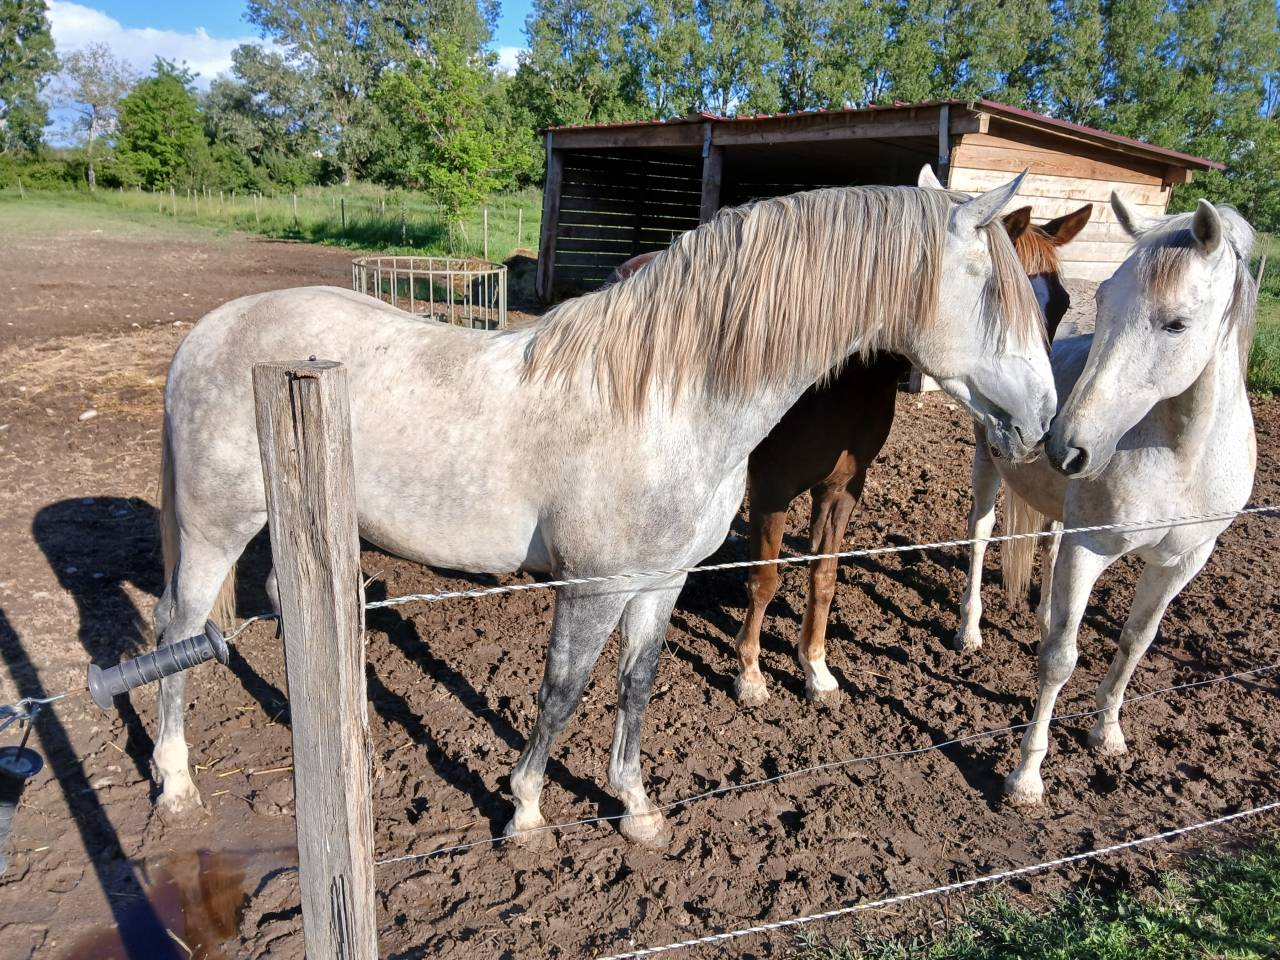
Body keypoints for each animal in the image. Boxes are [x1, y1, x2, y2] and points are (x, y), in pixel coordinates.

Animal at [152, 179, 1056, 846]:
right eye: (992, 292)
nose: (1044, 422)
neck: (666, 400)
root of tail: (208, 332)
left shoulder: (660, 581)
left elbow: (636, 684)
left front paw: (637, 808)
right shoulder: (593, 586)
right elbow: (563, 689)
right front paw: (523, 810)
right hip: (213, 528)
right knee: (175, 630)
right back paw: (175, 784)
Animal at [954, 195, 1257, 805]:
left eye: (1176, 323)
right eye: (1103, 300)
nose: (1064, 443)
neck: (1184, 453)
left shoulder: (1182, 561)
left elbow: (1136, 640)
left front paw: (1108, 731)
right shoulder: (1090, 549)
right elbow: (1059, 660)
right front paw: (1026, 777)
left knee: (1047, 548)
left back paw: (1044, 614)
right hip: (987, 467)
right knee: (980, 535)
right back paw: (970, 631)